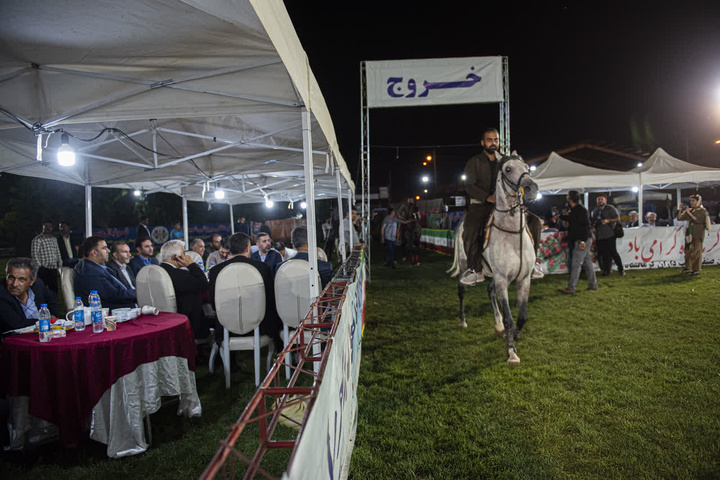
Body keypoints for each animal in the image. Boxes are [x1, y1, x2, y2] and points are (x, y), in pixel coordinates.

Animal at [448, 154, 536, 364]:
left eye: (527, 166)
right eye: (508, 169)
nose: (532, 189)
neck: (512, 234)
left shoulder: (523, 279)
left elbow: (522, 316)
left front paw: (512, 336)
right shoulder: (503, 279)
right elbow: (509, 318)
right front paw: (511, 352)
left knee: (489, 291)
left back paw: (498, 326)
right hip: (465, 267)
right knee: (462, 291)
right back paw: (463, 321)